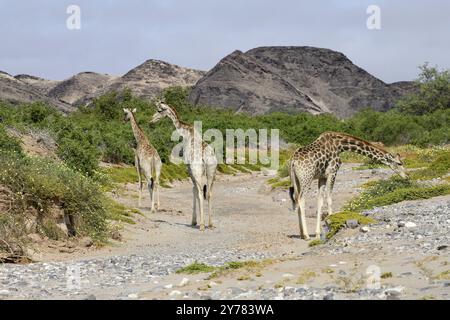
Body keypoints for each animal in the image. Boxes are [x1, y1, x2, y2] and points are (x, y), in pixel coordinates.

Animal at [149, 100, 218, 230]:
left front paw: (194, 221)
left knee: (200, 192)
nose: (151, 121)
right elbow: (195, 190)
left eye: (159, 110)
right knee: (209, 193)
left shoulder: (189, 168)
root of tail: (206, 156)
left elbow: (194, 190)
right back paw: (211, 224)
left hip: (197, 171)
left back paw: (202, 225)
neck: (186, 133)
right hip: (212, 172)